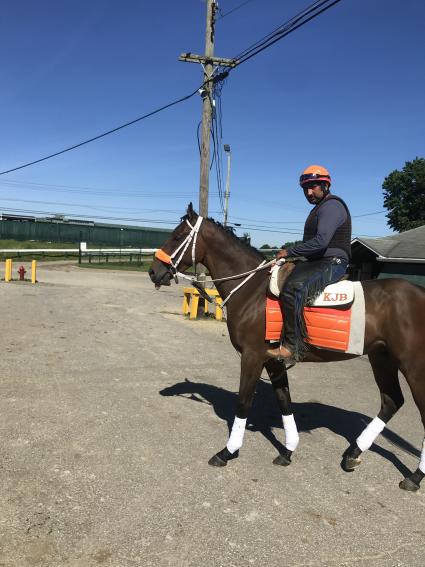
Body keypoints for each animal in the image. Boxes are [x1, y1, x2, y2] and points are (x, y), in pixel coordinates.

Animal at [148, 205, 424, 492]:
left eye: (178, 236)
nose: (153, 271)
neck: (253, 290)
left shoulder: (252, 357)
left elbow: (243, 403)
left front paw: (228, 451)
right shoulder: (273, 361)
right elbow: (284, 401)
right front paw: (288, 450)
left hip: (413, 367)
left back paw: (414, 477)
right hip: (381, 359)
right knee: (391, 401)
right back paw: (353, 454)